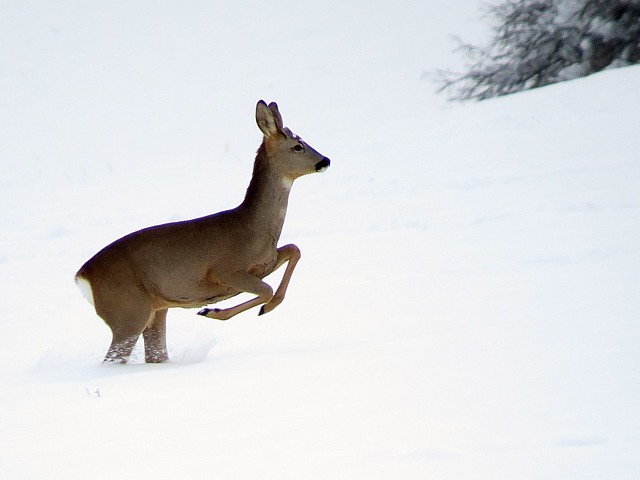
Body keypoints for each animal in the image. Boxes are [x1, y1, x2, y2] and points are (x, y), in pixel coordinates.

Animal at [75, 101, 330, 364]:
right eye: (297, 146)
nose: (325, 160)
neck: (254, 228)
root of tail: (82, 277)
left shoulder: (266, 263)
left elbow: (294, 250)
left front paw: (259, 308)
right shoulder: (226, 270)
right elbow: (267, 290)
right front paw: (214, 311)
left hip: (155, 309)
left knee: (155, 354)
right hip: (128, 311)